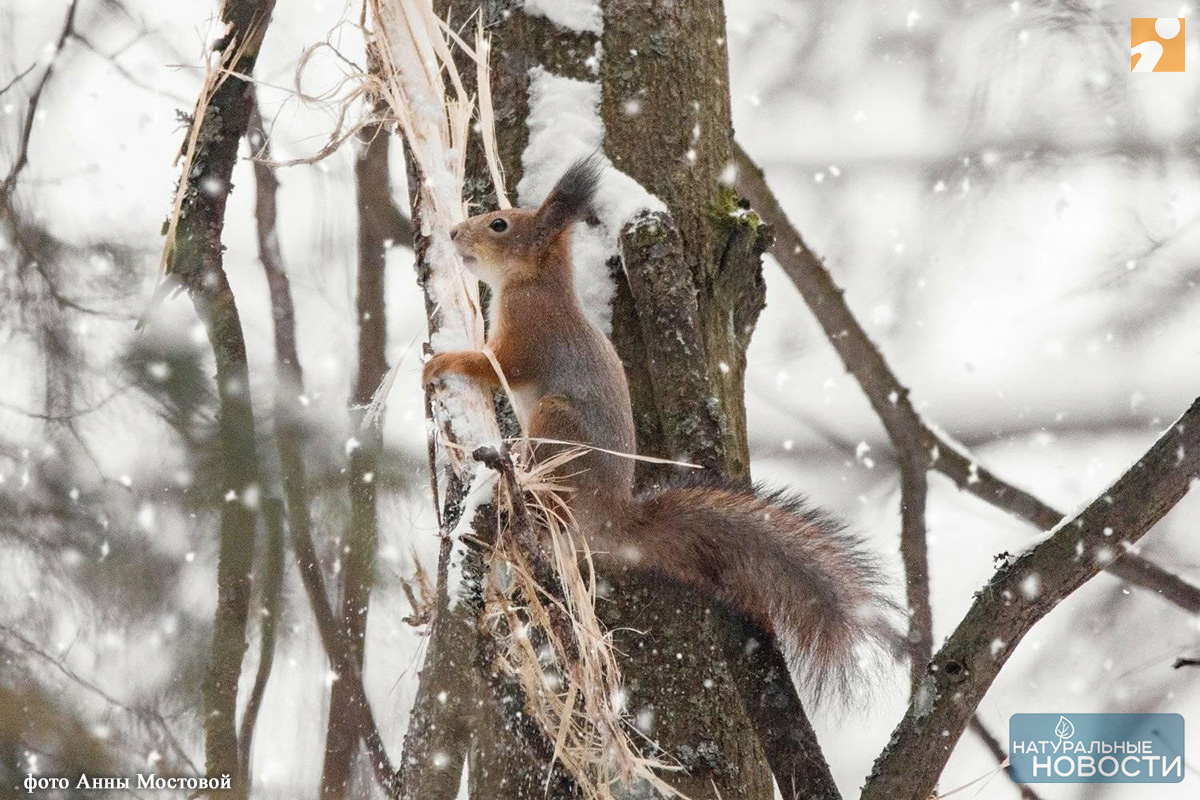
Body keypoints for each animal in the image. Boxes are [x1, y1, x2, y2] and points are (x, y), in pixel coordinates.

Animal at [422, 155, 902, 695]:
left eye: (499, 225)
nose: (454, 231)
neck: (536, 282)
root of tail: (610, 517)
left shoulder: (529, 336)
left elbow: (492, 364)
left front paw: (442, 361)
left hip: (555, 420)